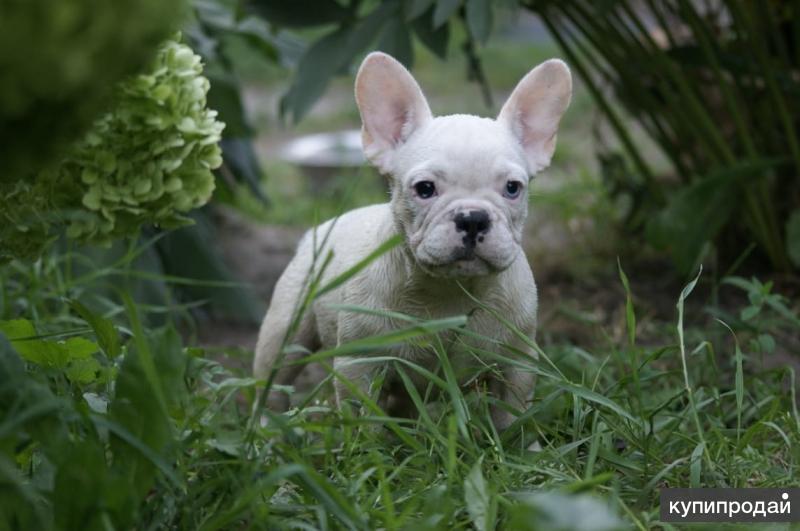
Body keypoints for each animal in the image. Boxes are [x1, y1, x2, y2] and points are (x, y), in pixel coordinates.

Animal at [253, 51, 572, 432]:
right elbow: (364, 421)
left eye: (513, 188)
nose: (472, 217)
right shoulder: (359, 366)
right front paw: (368, 447)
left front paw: (522, 444)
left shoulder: (516, 364)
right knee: (272, 382)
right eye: (425, 189)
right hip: (287, 328)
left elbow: (513, 418)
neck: (449, 290)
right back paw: (266, 429)